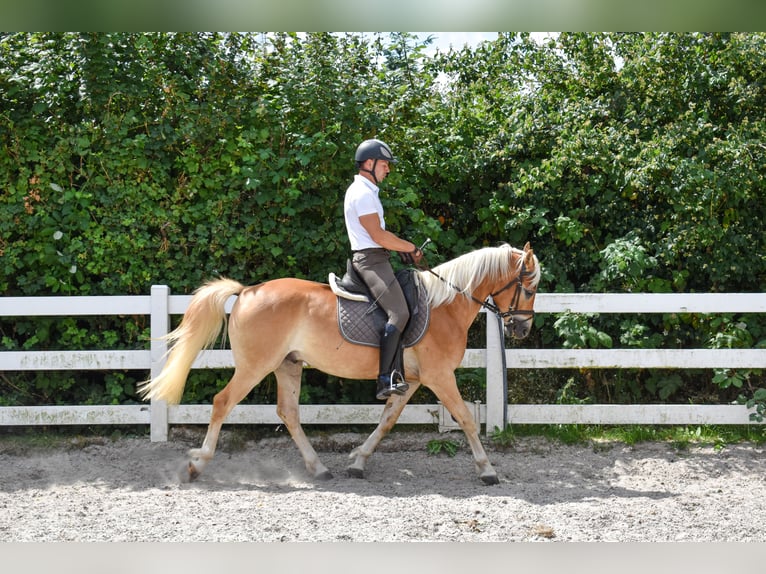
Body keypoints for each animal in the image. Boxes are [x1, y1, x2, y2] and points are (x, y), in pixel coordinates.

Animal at [139, 242, 540, 485]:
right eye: (531, 287)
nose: (521, 328)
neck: (445, 304)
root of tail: (248, 291)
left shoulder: (410, 380)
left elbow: (386, 421)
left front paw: (358, 460)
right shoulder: (440, 376)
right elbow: (467, 419)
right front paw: (487, 469)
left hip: (287, 365)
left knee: (288, 413)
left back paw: (318, 467)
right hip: (256, 366)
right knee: (223, 402)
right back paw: (198, 464)